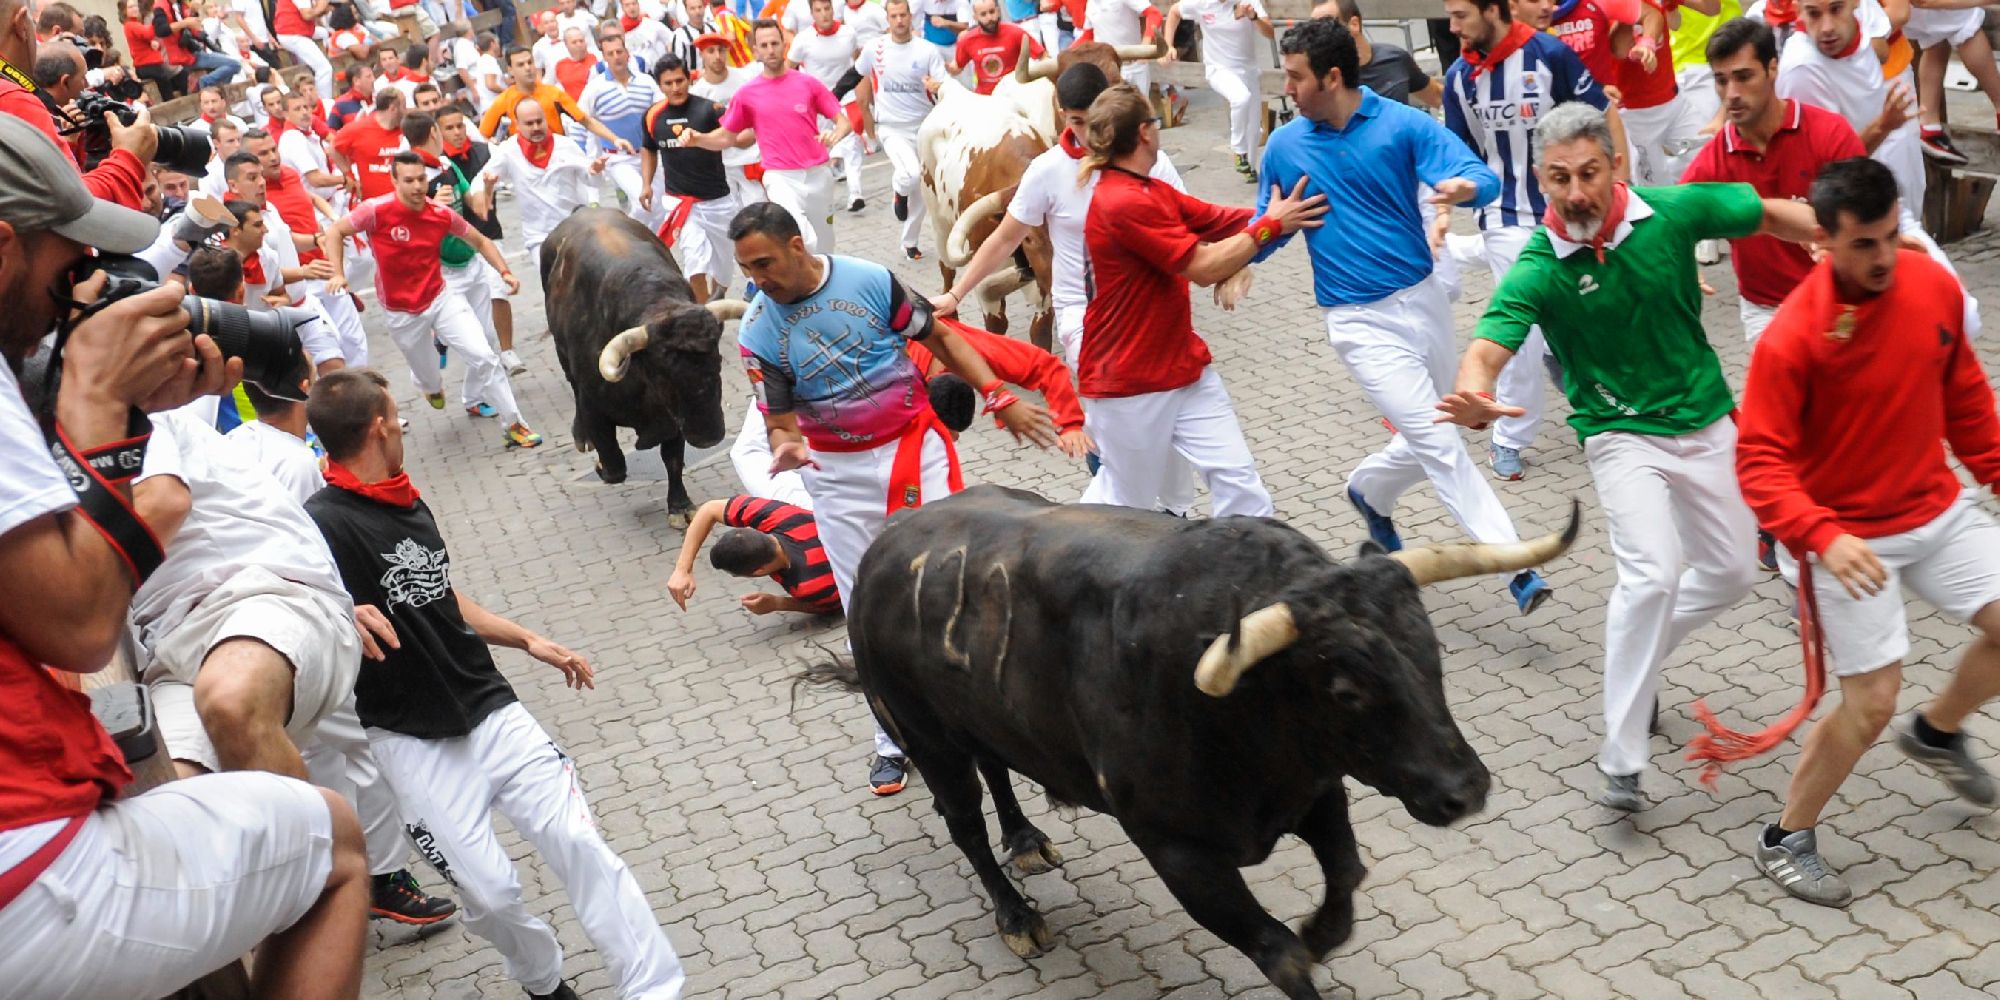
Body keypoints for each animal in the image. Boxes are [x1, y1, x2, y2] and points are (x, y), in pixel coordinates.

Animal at [544, 208, 732, 528]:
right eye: (664, 373)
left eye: (717, 362)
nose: (709, 436)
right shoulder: (594, 406)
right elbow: (614, 465)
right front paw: (599, 465)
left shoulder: (672, 418)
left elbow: (673, 459)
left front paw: (680, 506)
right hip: (563, 357)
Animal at [828, 486, 1576, 1000]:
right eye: (1345, 689)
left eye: (1430, 650)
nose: (1465, 790)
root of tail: (885, 549)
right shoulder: (1177, 849)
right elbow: (1280, 953)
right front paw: (1304, 945)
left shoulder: (1317, 788)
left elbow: (1346, 877)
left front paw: (1321, 931)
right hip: (927, 737)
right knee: (964, 825)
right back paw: (1016, 915)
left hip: (983, 716)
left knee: (998, 766)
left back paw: (1028, 840)